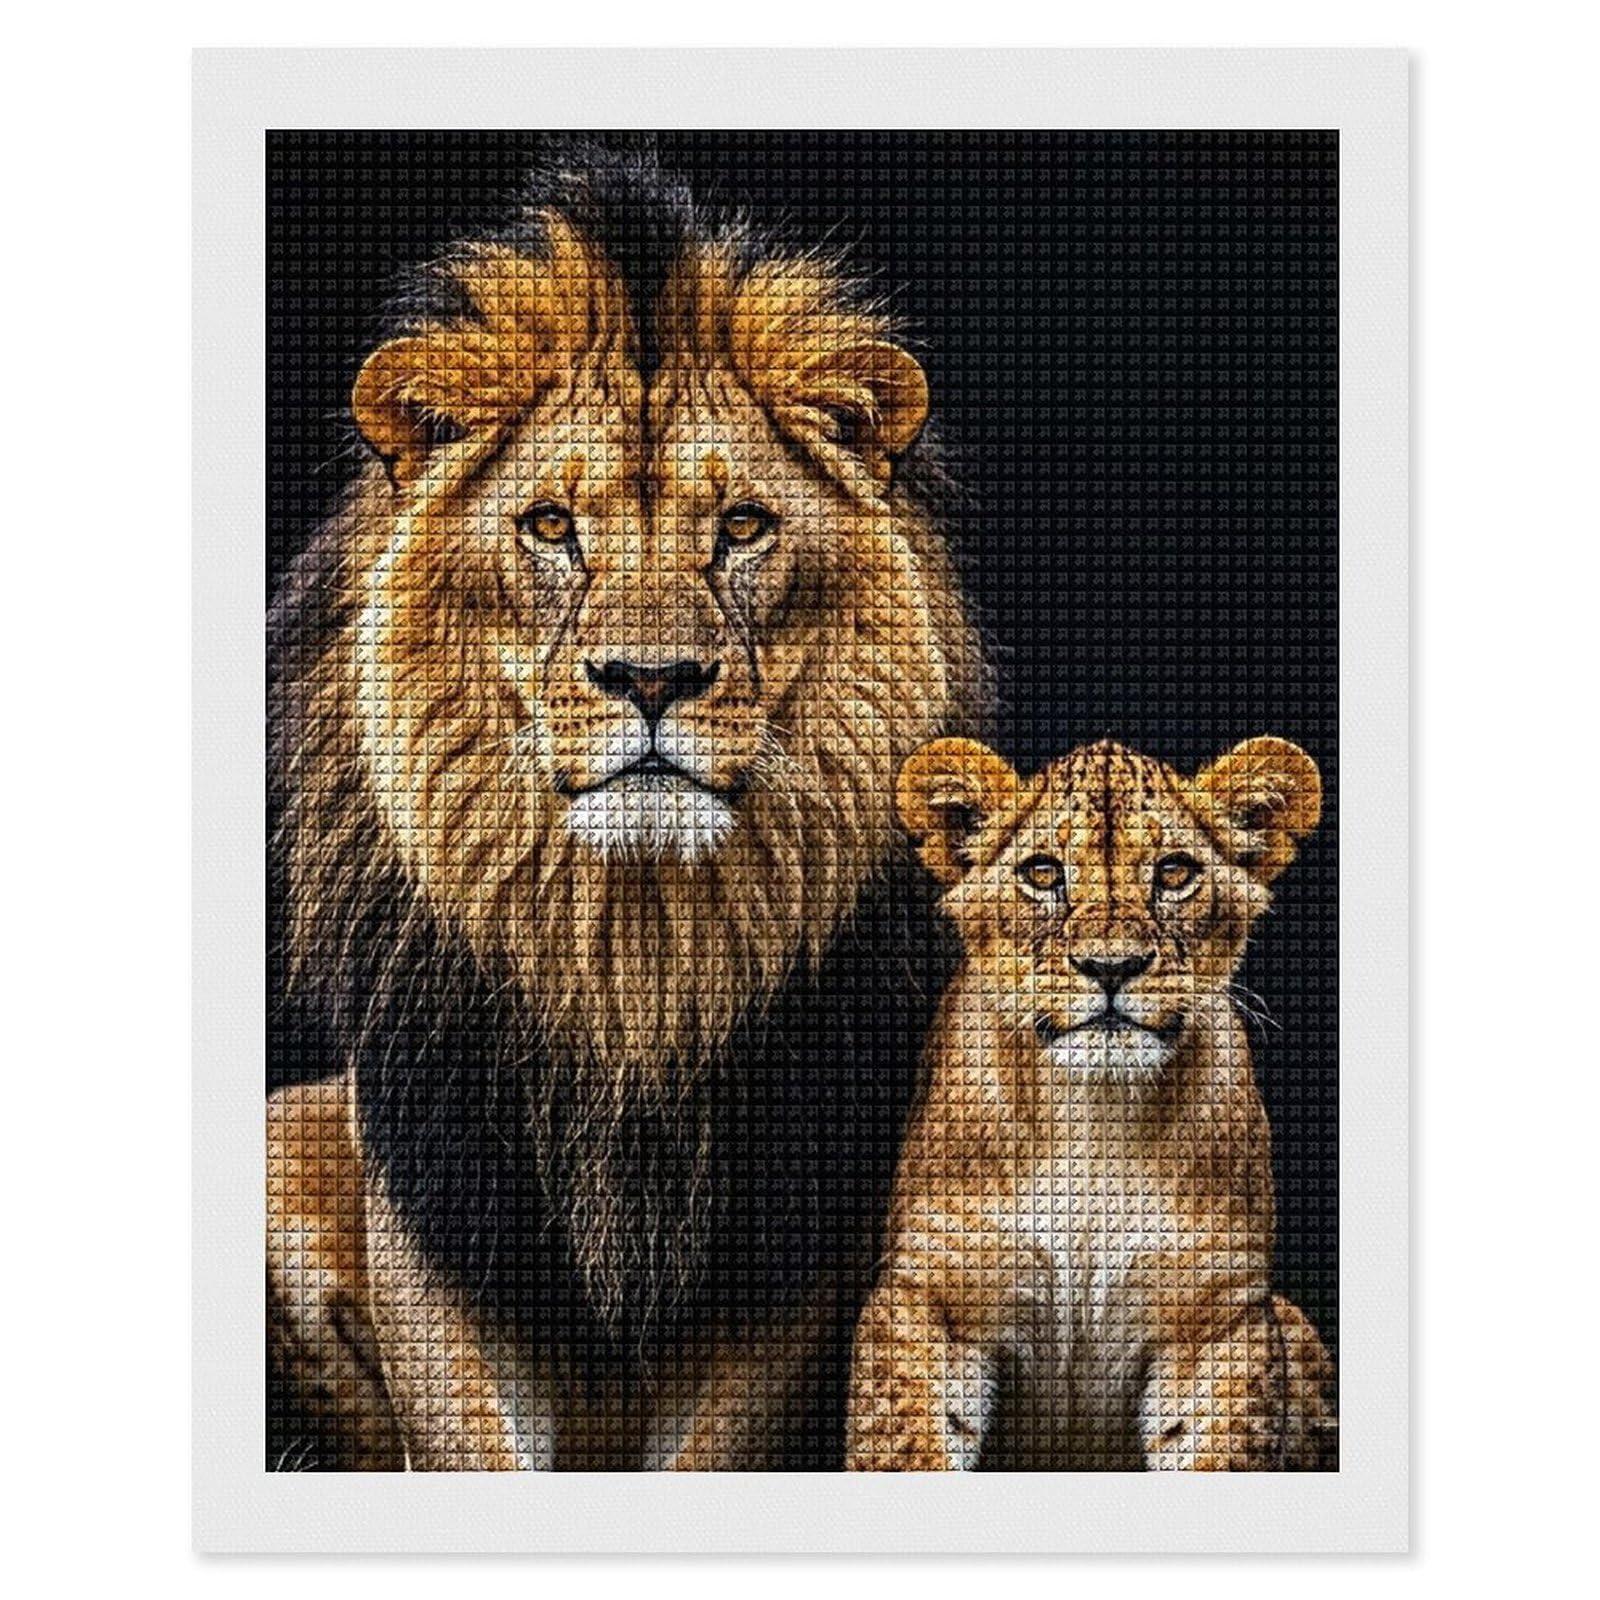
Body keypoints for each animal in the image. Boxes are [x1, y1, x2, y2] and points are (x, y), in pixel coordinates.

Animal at [267, 151, 988, 1470]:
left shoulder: (788, 1242)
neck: (634, 960)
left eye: (742, 525)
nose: (651, 679)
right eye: (552, 525)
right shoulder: (444, 1214)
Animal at [845, 735, 1337, 1470]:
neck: (1093, 1121)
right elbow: (903, 1447)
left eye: (1175, 872)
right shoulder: (931, 1291)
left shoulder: (1219, 1317)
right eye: (1043, 872)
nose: (1112, 966)